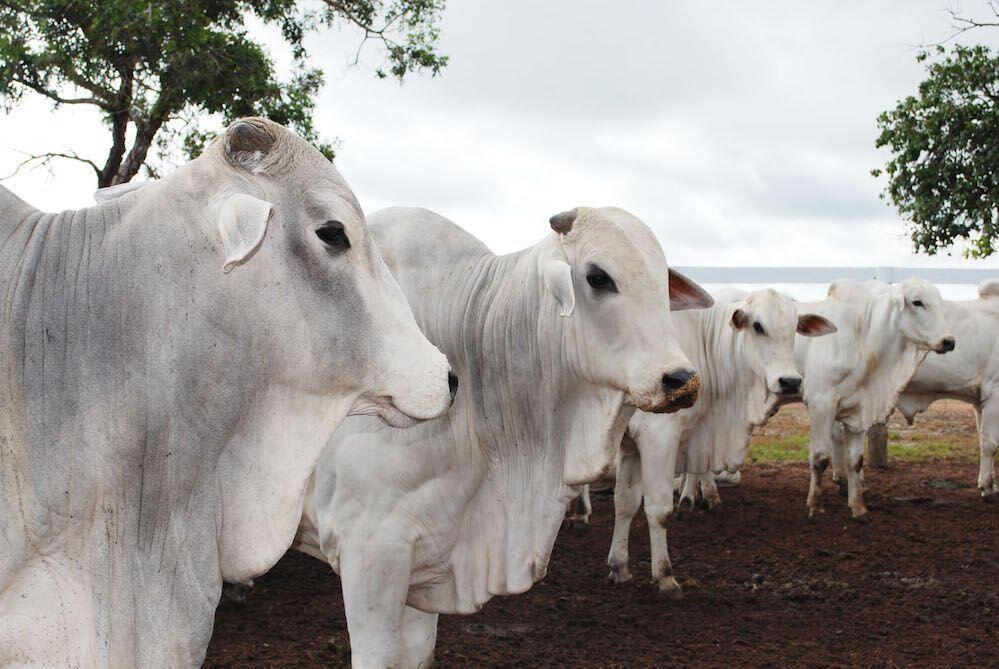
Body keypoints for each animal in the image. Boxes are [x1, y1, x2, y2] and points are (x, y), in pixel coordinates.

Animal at [608, 284, 836, 592]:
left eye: (794, 328)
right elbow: (658, 508)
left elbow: (625, 503)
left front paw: (619, 567)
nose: (790, 381)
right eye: (757, 326)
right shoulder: (658, 437)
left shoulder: (630, 445)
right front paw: (665, 576)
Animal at [796, 276, 952, 520]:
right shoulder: (821, 404)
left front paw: (858, 508)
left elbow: (856, 461)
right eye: (917, 302)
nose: (948, 341)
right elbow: (820, 458)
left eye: (939, 301)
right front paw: (815, 506)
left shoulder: (860, 409)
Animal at [860, 278, 999, 500]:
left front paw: (990, 485)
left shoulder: (979, 402)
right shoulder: (994, 392)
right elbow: (990, 444)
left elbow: (983, 440)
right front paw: (986, 487)